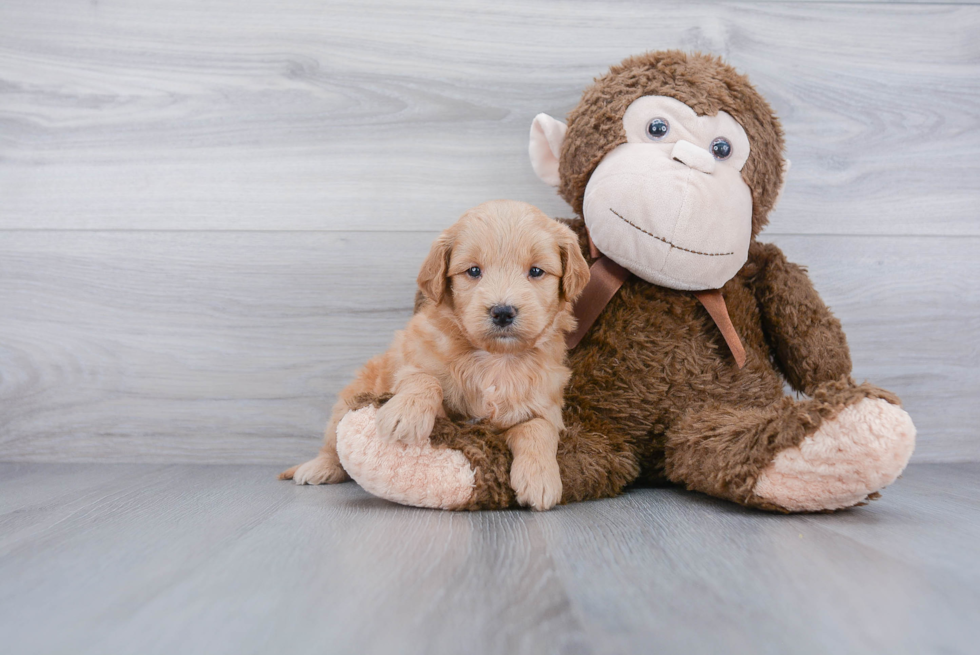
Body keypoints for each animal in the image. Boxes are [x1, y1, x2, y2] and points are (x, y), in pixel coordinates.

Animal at [284, 201, 588, 512]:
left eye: (536, 271)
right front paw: (406, 414)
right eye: (473, 271)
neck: (495, 359)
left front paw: (541, 479)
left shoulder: (543, 403)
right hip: (349, 397)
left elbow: (539, 429)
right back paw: (318, 467)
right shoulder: (413, 362)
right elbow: (424, 379)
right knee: (332, 441)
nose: (503, 311)